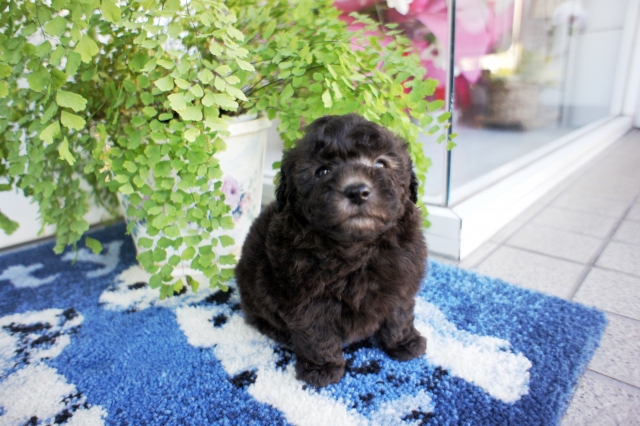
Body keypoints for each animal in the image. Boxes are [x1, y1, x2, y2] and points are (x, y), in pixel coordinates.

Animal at [235, 114, 427, 388]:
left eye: (381, 164)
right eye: (322, 171)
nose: (357, 191)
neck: (356, 248)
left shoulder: (402, 278)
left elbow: (399, 314)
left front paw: (404, 343)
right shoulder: (306, 298)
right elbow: (317, 333)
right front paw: (322, 368)